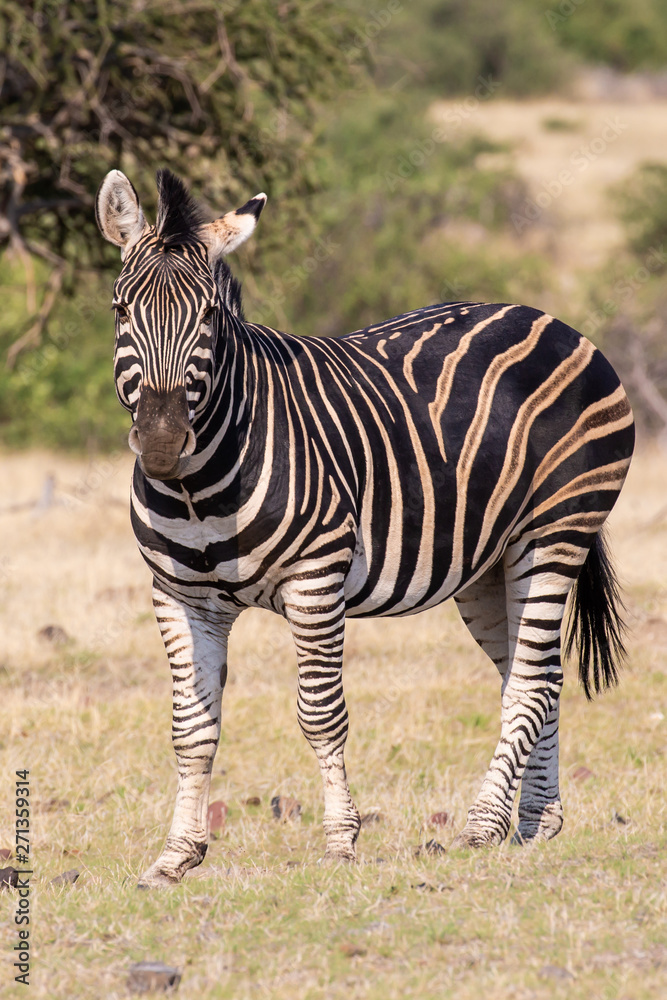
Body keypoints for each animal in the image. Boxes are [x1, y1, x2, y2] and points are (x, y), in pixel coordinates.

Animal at [96, 168, 634, 888]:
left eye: (208, 317)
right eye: (120, 311)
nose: (159, 444)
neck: (197, 489)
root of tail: (550, 319)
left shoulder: (315, 580)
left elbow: (320, 715)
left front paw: (340, 843)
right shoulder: (180, 595)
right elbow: (193, 727)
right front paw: (176, 855)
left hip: (557, 528)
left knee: (526, 685)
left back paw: (483, 823)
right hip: (492, 560)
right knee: (537, 673)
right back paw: (534, 821)